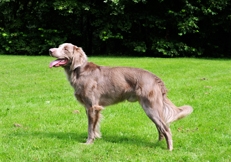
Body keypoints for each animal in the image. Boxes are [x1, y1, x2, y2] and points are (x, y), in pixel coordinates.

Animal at [48, 43, 193, 151]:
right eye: (59, 46)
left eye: (65, 49)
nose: (50, 50)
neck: (79, 72)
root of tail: (155, 78)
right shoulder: (90, 107)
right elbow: (94, 126)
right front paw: (96, 138)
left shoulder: (92, 107)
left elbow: (90, 128)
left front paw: (88, 142)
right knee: (161, 127)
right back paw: (158, 143)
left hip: (151, 107)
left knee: (166, 128)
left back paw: (169, 149)